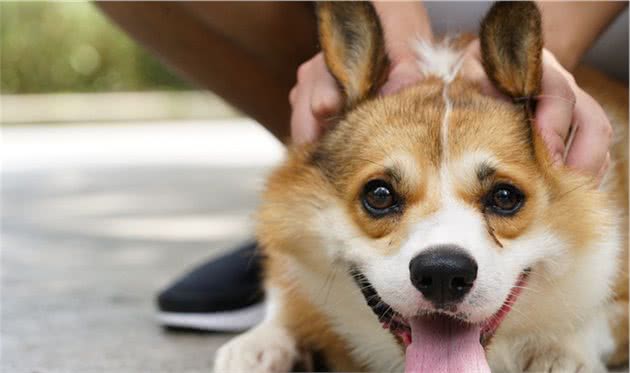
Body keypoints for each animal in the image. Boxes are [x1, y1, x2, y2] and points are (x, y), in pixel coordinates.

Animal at [215, 1, 628, 370]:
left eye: (505, 196)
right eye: (379, 195)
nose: (443, 274)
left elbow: (593, 319)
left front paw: (561, 351)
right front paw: (262, 341)